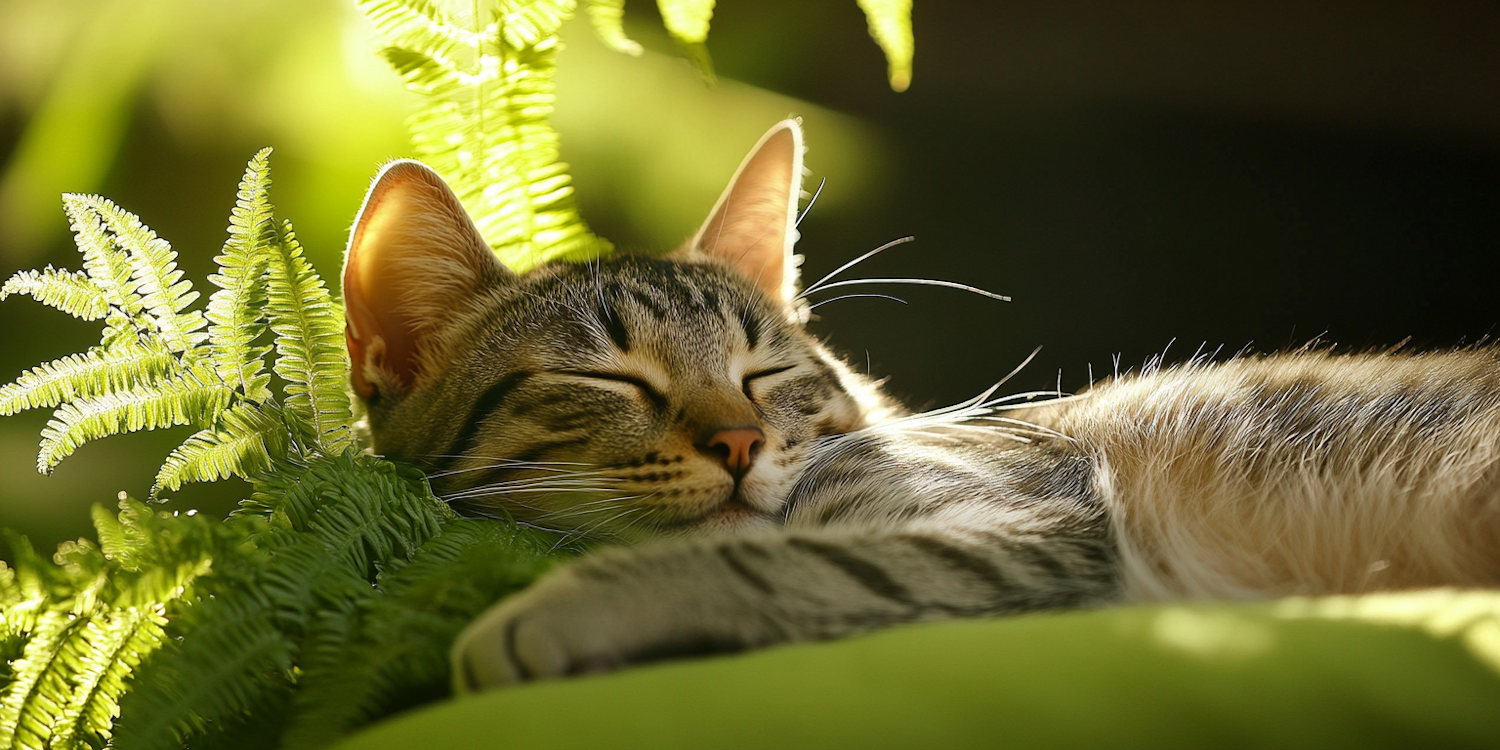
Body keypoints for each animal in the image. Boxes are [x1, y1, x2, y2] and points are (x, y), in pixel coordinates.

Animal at [337, 118, 1500, 690]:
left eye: (764, 373)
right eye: (612, 380)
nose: (742, 441)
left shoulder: (1033, 522)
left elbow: (767, 560)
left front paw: (553, 611)